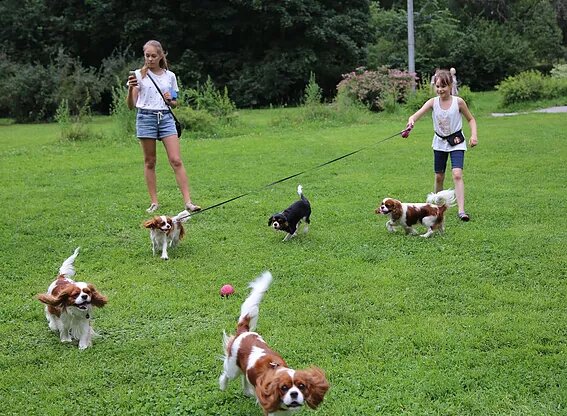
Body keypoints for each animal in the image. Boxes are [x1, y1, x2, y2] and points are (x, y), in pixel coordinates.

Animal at [220, 272, 330, 414]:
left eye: (301, 386)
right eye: (284, 388)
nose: (294, 394)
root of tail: (244, 332)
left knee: (244, 377)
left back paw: (248, 391)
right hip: (232, 367)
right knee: (226, 374)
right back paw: (223, 385)